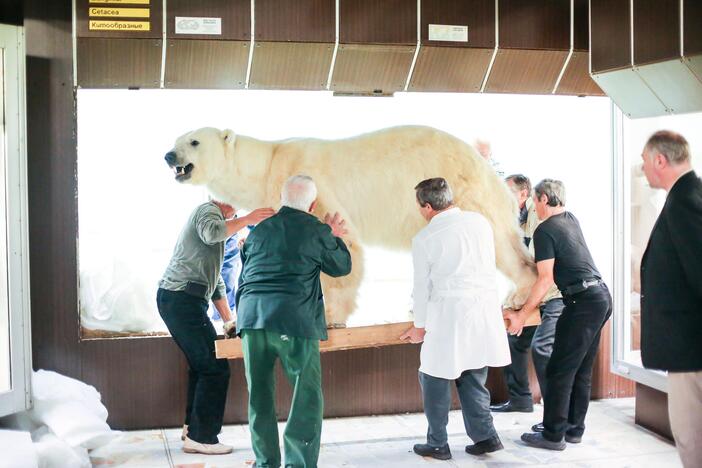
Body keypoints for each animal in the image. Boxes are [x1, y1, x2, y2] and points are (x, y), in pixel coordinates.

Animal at [166, 126, 540, 328]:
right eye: (178, 138)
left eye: (194, 141)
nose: (169, 156)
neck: (268, 164)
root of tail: (487, 169)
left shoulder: (310, 182)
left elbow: (339, 248)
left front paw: (331, 315)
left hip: (464, 190)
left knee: (498, 242)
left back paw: (519, 293)